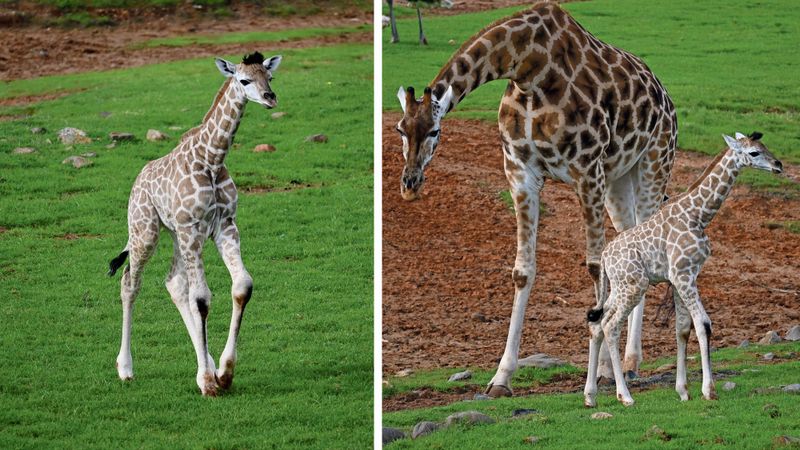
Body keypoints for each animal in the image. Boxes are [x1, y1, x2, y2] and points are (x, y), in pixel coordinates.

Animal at [108, 51, 282, 396]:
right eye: (244, 80)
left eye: (269, 77)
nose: (270, 98)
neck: (211, 159)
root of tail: (137, 181)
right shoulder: (192, 227)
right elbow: (201, 298)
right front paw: (207, 382)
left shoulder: (224, 225)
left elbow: (242, 286)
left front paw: (224, 373)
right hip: (145, 230)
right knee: (130, 282)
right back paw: (125, 369)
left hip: (178, 235)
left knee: (173, 283)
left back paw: (209, 363)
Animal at [394, 2, 678, 397]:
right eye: (400, 129)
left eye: (435, 130)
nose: (410, 184)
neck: (528, 70)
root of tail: (664, 95)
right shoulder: (520, 172)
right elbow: (522, 271)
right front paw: (501, 378)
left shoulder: (587, 171)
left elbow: (595, 267)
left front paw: (602, 371)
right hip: (619, 177)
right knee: (631, 243)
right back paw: (627, 360)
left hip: (654, 162)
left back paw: (630, 362)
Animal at [584, 132, 782, 406]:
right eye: (754, 152)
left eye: (764, 146)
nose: (778, 165)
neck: (698, 215)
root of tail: (604, 257)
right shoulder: (683, 275)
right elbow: (703, 324)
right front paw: (709, 390)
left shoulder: (683, 277)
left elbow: (682, 330)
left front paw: (683, 391)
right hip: (635, 285)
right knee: (611, 326)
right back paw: (625, 396)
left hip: (620, 286)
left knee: (597, 323)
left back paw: (590, 396)